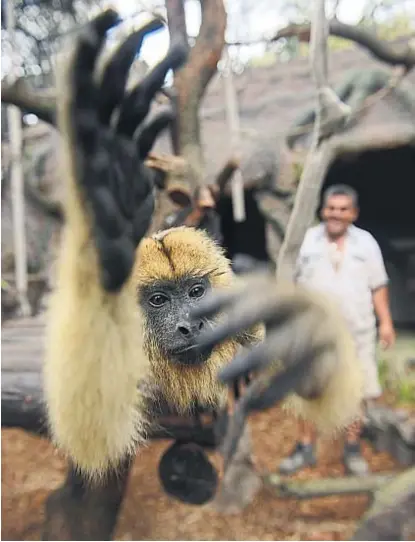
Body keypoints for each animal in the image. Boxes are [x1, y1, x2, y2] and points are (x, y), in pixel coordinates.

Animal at [44, 9, 366, 542]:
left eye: (196, 293)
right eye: (159, 301)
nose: (189, 324)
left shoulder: (248, 335)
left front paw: (307, 335)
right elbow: (95, 437)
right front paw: (110, 211)